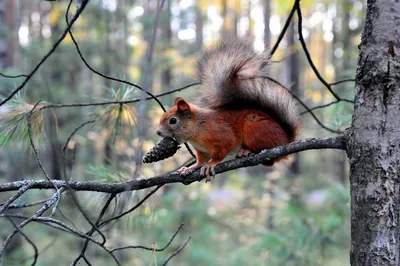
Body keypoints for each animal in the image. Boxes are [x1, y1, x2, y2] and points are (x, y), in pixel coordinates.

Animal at [156, 39, 300, 181]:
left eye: (173, 120)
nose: (158, 132)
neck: (197, 130)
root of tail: (285, 139)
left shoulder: (220, 136)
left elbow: (220, 152)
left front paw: (211, 164)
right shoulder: (201, 151)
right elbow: (201, 161)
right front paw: (189, 168)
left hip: (255, 128)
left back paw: (247, 151)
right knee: (270, 162)